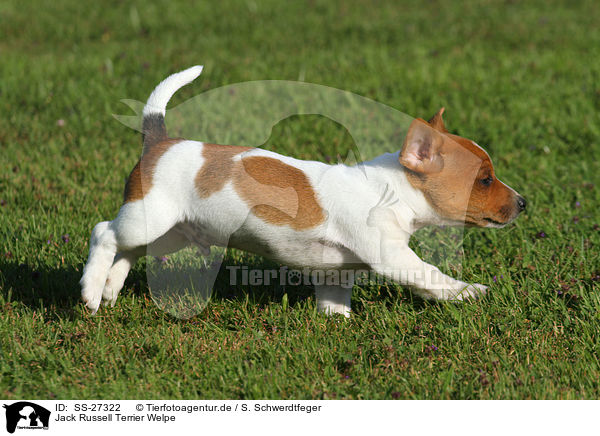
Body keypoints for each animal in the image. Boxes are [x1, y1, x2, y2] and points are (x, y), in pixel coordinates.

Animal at [81, 65, 524, 316]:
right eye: (484, 179)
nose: (523, 202)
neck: (393, 189)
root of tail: (158, 141)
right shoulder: (394, 256)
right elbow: (433, 277)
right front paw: (471, 292)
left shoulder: (336, 275)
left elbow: (334, 306)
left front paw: (338, 325)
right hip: (148, 217)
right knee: (104, 234)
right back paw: (90, 291)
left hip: (170, 231)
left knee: (130, 250)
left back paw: (109, 288)